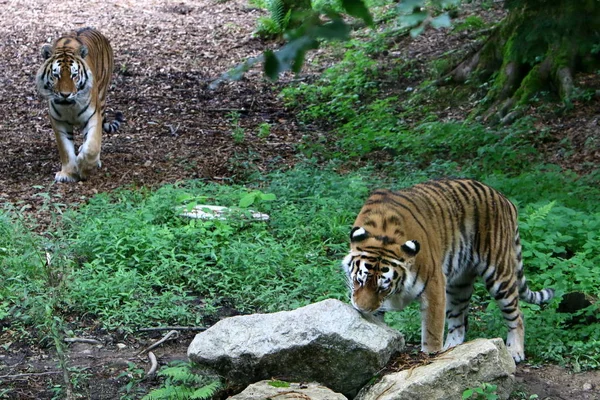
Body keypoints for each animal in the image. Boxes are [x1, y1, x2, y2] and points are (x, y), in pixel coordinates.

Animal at [35, 28, 122, 183]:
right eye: (56, 75)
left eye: (74, 75)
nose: (65, 94)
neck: (69, 106)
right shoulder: (59, 122)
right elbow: (65, 150)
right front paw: (67, 173)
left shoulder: (93, 117)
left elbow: (92, 146)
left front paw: (84, 165)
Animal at [342, 179, 552, 362]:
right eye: (359, 281)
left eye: (383, 288)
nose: (362, 309)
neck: (382, 236)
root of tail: (505, 199)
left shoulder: (434, 286)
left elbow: (432, 331)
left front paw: (431, 357)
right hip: (459, 285)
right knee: (459, 324)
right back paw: (453, 350)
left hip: (499, 275)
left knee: (518, 315)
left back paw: (515, 351)